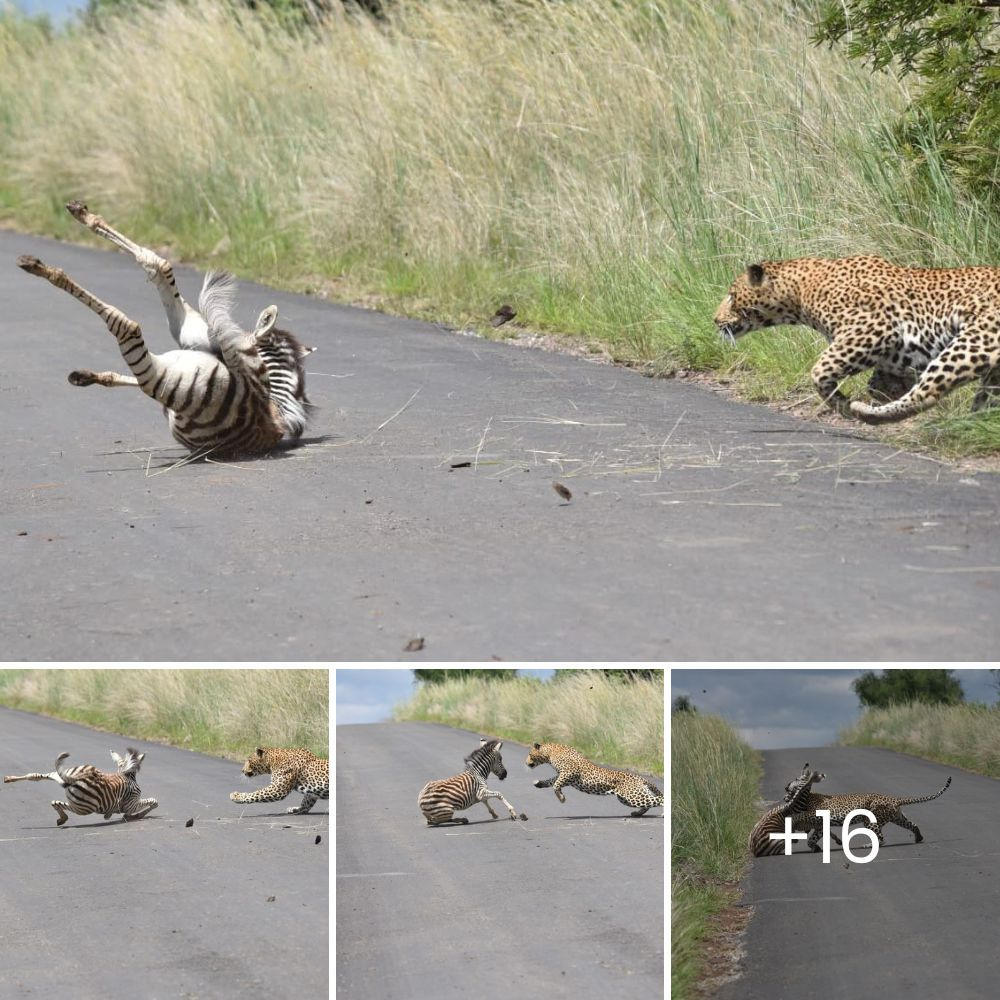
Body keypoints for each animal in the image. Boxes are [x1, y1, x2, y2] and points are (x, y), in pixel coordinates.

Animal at [3, 748, 158, 824]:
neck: (126, 774)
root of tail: (75, 777)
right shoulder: (131, 804)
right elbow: (154, 801)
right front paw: (136, 816)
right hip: (85, 808)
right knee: (57, 803)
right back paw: (63, 819)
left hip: (61, 774)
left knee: (35, 777)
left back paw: (8, 778)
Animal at [15, 201, 312, 458]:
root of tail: (254, 396)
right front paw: (88, 376)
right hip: (192, 339)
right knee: (159, 266)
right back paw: (81, 219)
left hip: (177, 381)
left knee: (128, 327)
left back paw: (46, 271)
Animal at [524, 740, 664, 816]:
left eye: (530, 754)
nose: (525, 762)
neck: (550, 753)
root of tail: (642, 778)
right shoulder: (565, 775)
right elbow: (551, 781)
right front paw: (539, 783)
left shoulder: (569, 772)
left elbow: (555, 784)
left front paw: (562, 798)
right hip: (628, 798)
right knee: (650, 803)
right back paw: (637, 813)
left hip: (632, 796)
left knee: (660, 799)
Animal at [712, 256, 1000, 424]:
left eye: (731, 296)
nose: (714, 320)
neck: (799, 293)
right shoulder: (896, 357)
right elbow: (878, 383)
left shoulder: (871, 329)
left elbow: (820, 371)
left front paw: (840, 404)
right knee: (984, 400)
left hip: (974, 341)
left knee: (928, 391)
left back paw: (866, 413)